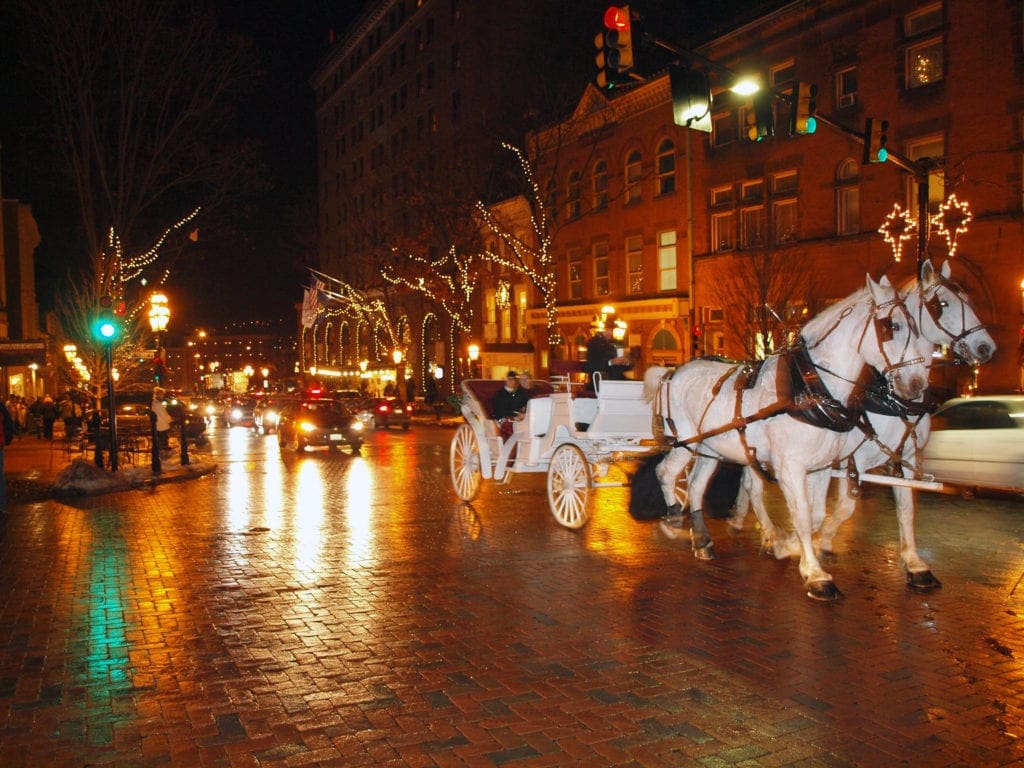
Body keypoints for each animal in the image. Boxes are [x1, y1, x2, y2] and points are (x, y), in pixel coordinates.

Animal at [647, 274, 937, 602]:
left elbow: (816, 514)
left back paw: (702, 541)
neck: (809, 387)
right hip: (686, 441)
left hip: (712, 447)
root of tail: (671, 373)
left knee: (696, 486)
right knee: (666, 472)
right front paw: (814, 574)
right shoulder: (790, 467)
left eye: (918, 326)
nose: (916, 385)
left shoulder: (821, 466)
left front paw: (788, 546)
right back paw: (673, 519)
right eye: (893, 326)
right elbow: (801, 515)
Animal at [733, 262, 995, 593]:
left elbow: (906, 508)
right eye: (943, 304)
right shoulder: (851, 458)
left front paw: (914, 563)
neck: (888, 399)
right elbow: (842, 506)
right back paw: (768, 534)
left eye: (969, 301)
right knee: (754, 486)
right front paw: (808, 546)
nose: (986, 347)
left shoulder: (905, 457)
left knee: (749, 482)